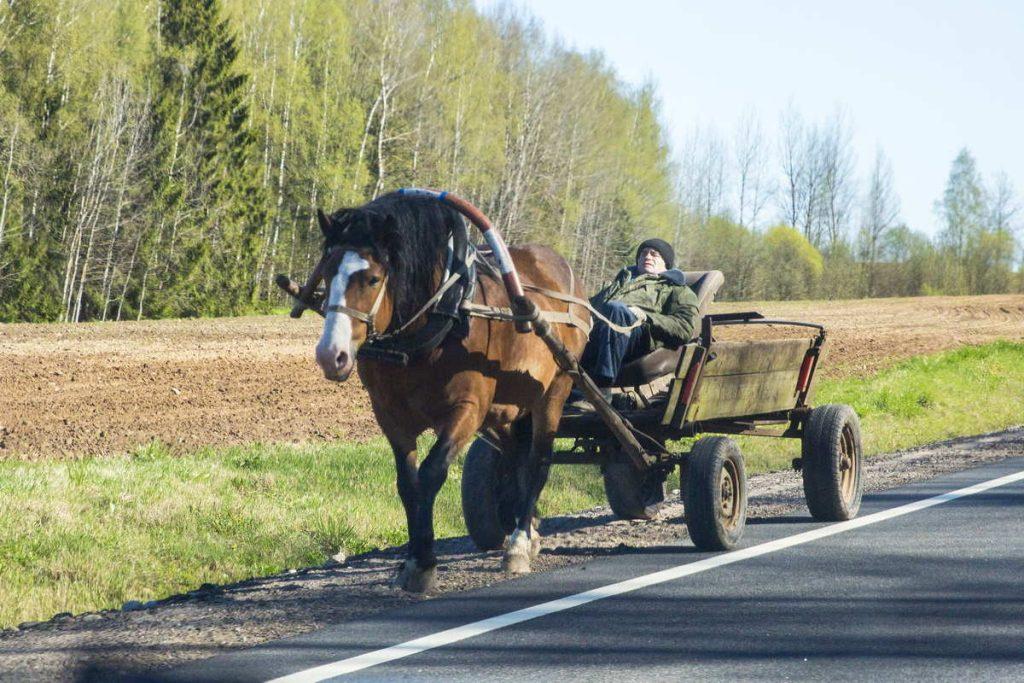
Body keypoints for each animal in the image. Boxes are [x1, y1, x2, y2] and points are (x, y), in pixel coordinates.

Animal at [311, 192, 589, 593]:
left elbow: (431, 474)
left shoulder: (467, 409)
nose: (331, 355)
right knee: (515, 457)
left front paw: (424, 563)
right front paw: (413, 557)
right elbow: (407, 484)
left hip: (553, 391)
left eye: (373, 278)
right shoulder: (391, 417)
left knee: (538, 460)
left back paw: (520, 542)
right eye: (326, 272)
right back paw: (529, 527)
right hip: (505, 409)